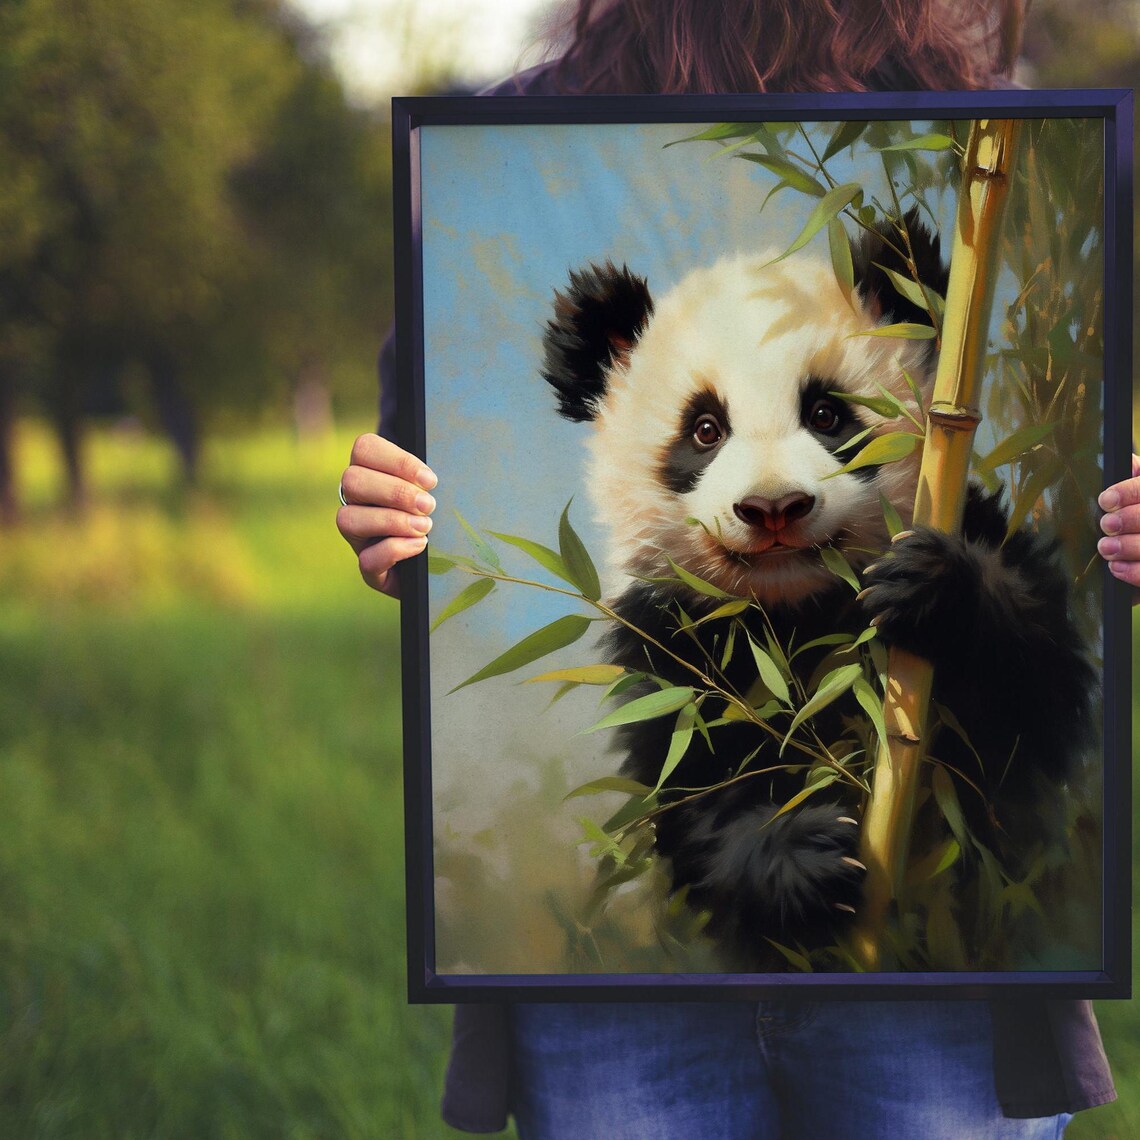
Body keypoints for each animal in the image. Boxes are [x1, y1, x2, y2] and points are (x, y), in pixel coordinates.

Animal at [540, 210, 1095, 969]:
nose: (774, 508)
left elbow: (1034, 705)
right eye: (705, 429)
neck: (795, 613)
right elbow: (693, 790)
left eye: (828, 414)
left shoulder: (980, 532)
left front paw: (931, 589)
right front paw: (803, 858)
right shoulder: (673, 644)